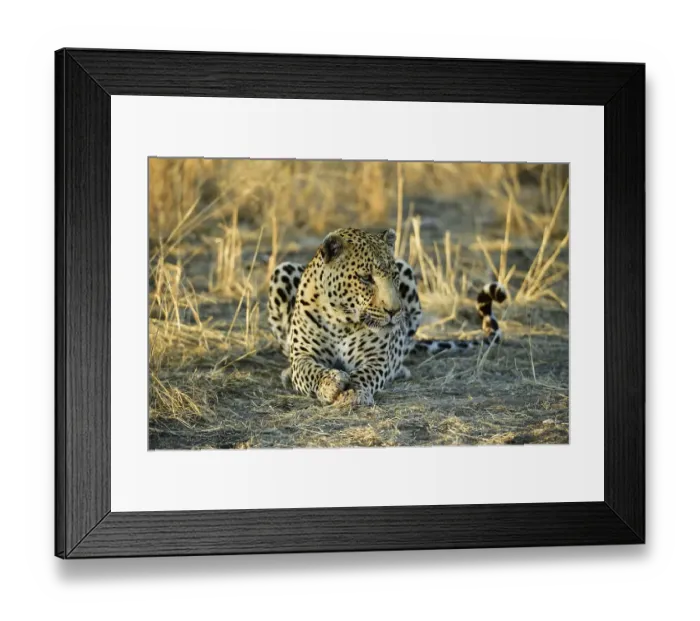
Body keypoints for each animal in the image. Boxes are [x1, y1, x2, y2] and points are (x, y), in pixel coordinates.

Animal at [266, 228, 506, 407]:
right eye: (365, 278)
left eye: (393, 276)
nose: (395, 311)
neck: (341, 320)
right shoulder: (303, 355)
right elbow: (310, 371)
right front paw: (330, 382)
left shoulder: (376, 358)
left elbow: (364, 375)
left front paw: (353, 393)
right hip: (282, 270)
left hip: (408, 273)